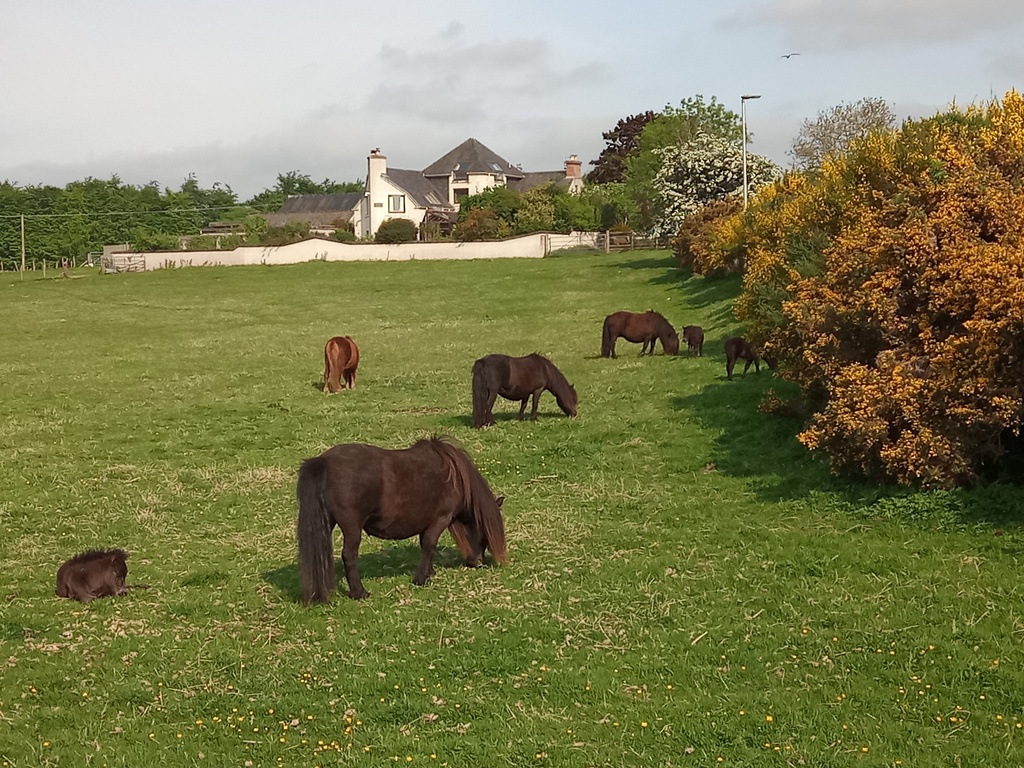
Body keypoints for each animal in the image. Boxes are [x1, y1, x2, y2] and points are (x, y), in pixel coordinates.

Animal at [297, 437, 507, 603]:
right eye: (485, 534)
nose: (477, 562)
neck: (455, 477)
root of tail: (324, 461)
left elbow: (425, 545)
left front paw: (429, 572)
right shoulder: (440, 518)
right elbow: (429, 545)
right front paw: (421, 579)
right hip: (352, 527)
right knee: (349, 555)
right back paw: (359, 592)